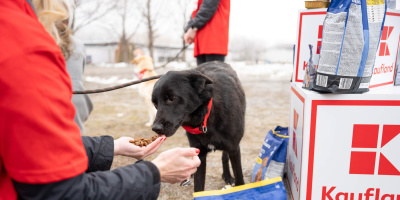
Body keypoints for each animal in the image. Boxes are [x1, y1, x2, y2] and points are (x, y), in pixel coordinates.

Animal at [152, 61, 245, 192]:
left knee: (224, 157)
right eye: (155, 103)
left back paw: (227, 176)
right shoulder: (199, 153)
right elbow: (198, 186)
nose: (156, 128)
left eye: (172, 98)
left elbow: (240, 180)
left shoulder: (234, 149)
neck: (207, 116)